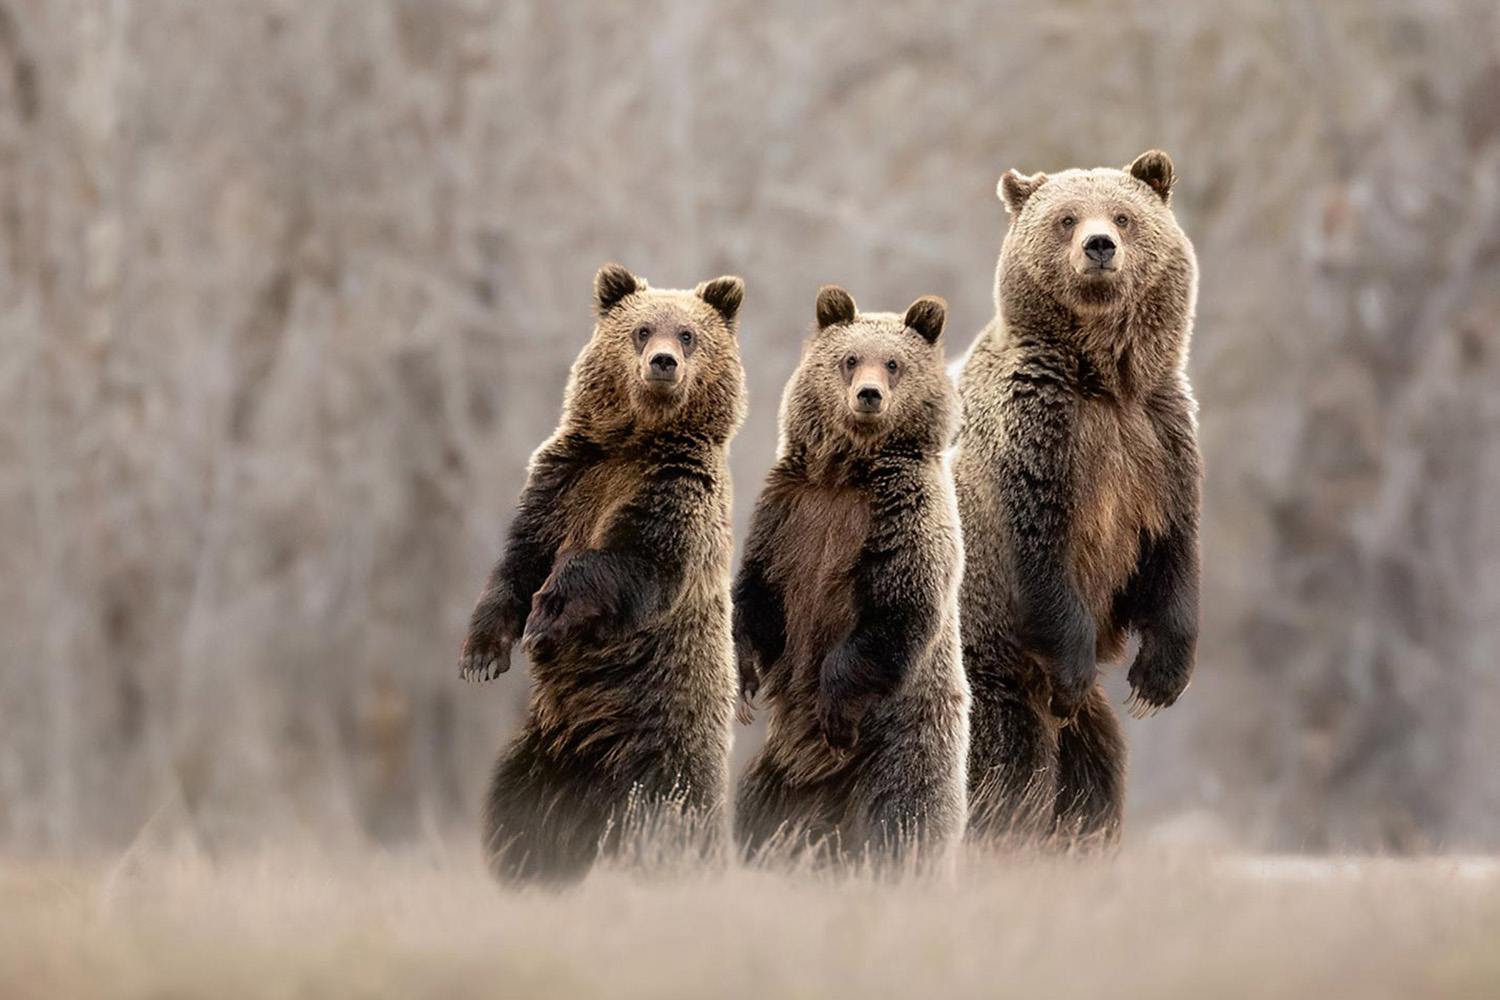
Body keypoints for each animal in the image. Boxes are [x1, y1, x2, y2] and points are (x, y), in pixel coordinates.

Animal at [458, 262, 746, 885]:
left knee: (669, 823)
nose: (663, 363)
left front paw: (545, 618)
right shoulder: (565, 479)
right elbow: (517, 562)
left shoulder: (674, 496)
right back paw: (530, 869)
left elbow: (624, 564)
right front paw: (482, 657)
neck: (637, 441)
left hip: (660, 751)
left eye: (688, 335)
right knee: (517, 812)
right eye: (641, 330)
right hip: (543, 756)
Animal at [732, 285, 970, 874]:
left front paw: (834, 706)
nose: (868, 395)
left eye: (894, 363)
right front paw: (744, 680)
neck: (849, 472)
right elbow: (758, 594)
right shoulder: (789, 514)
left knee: (904, 820)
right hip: (776, 776)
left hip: (902, 746)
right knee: (756, 812)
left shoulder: (902, 516)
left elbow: (896, 609)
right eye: (849, 358)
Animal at [952, 150, 1202, 847]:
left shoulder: (1160, 444)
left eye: (1123, 214)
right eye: (1066, 217)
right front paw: (1073, 667)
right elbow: (1039, 554)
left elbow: (1172, 554)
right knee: (1006, 774)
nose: (1099, 246)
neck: (1104, 379)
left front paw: (1157, 680)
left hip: (1085, 730)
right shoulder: (1038, 440)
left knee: (1094, 780)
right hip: (988, 675)